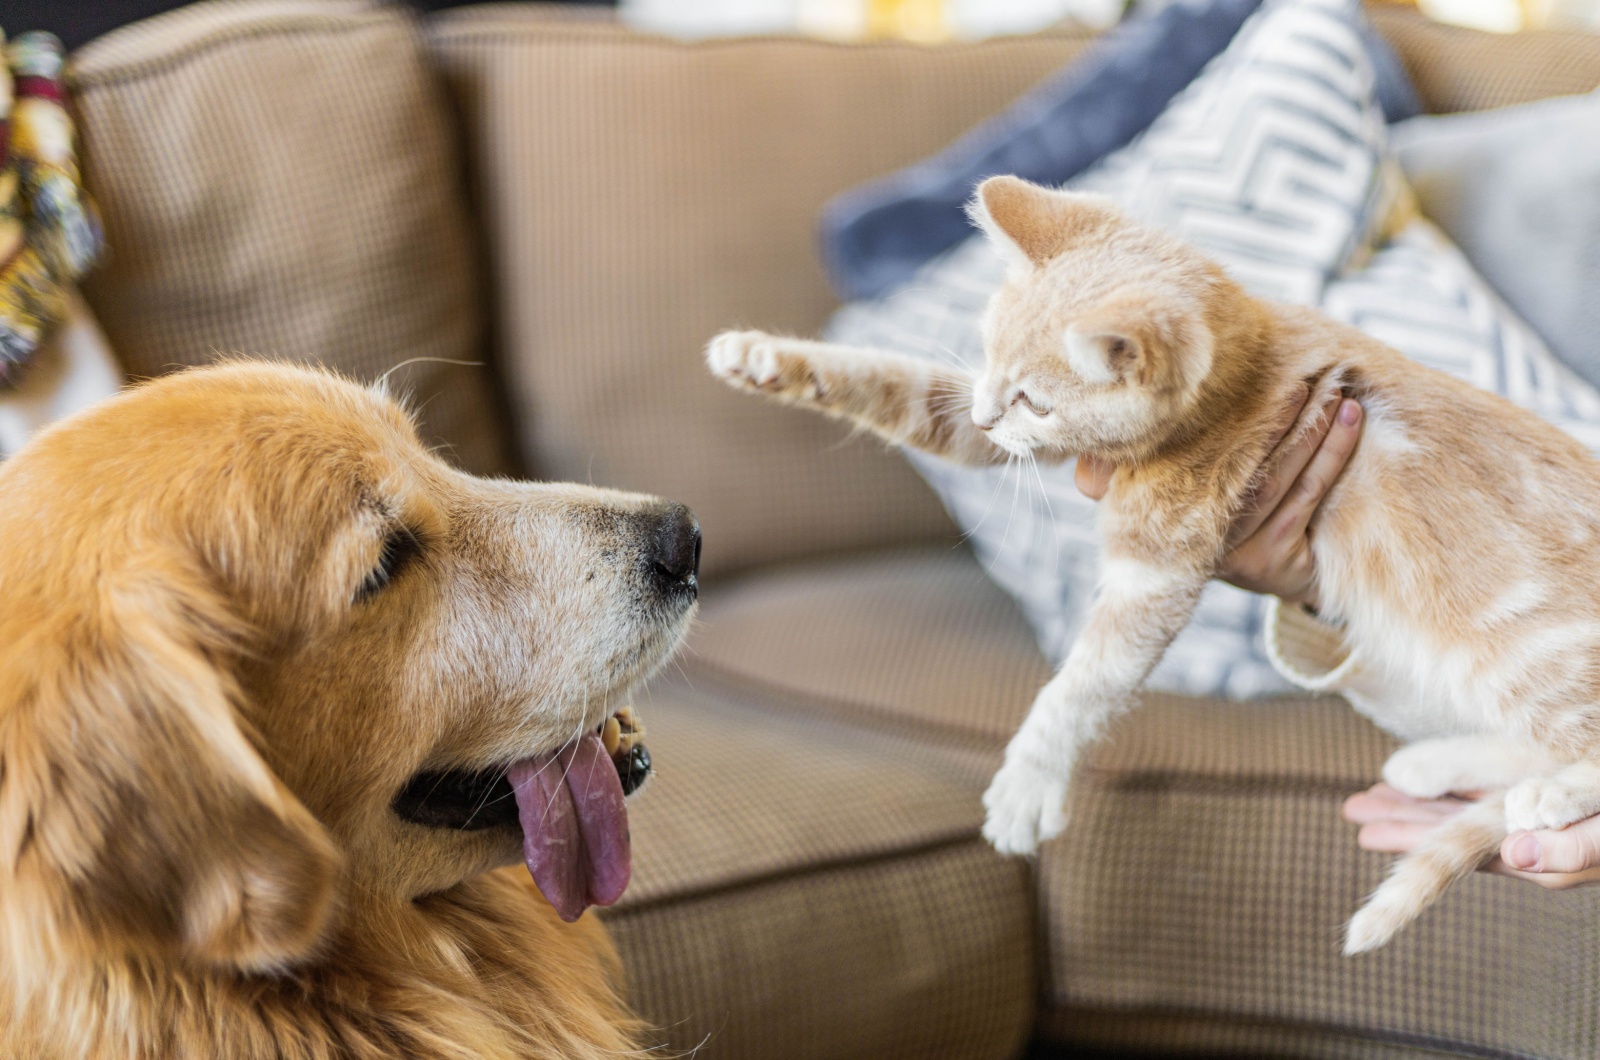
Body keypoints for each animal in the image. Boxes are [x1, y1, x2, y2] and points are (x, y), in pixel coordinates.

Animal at [710, 172, 1600, 954]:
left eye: (1035, 400)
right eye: (987, 354)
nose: (994, 410)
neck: (1249, 362)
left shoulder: (1156, 574)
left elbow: (1081, 685)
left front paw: (1030, 783)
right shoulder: (974, 427)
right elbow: (901, 387)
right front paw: (762, 356)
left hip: (1522, 651)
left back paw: (1546, 791)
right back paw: (1439, 761)